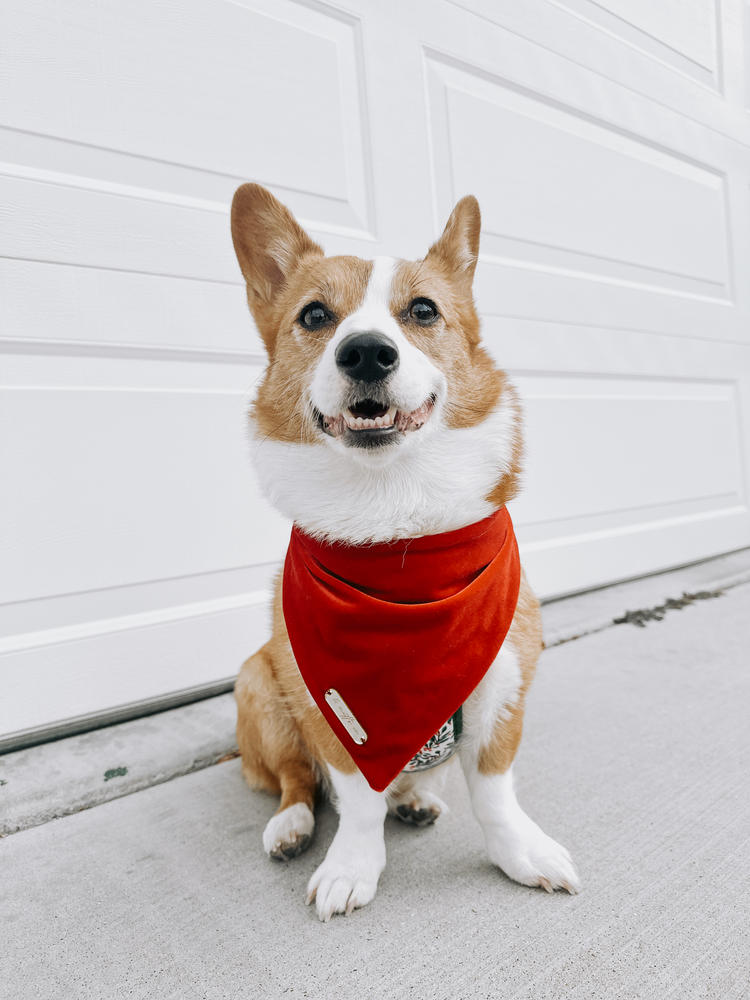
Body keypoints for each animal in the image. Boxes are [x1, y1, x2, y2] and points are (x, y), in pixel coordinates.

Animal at [231, 182, 580, 920]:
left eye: (423, 310)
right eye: (314, 315)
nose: (365, 353)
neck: (394, 528)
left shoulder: (502, 689)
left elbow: (495, 794)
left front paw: (522, 854)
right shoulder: (330, 712)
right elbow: (356, 798)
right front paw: (350, 867)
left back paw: (416, 796)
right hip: (256, 684)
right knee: (294, 780)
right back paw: (291, 825)